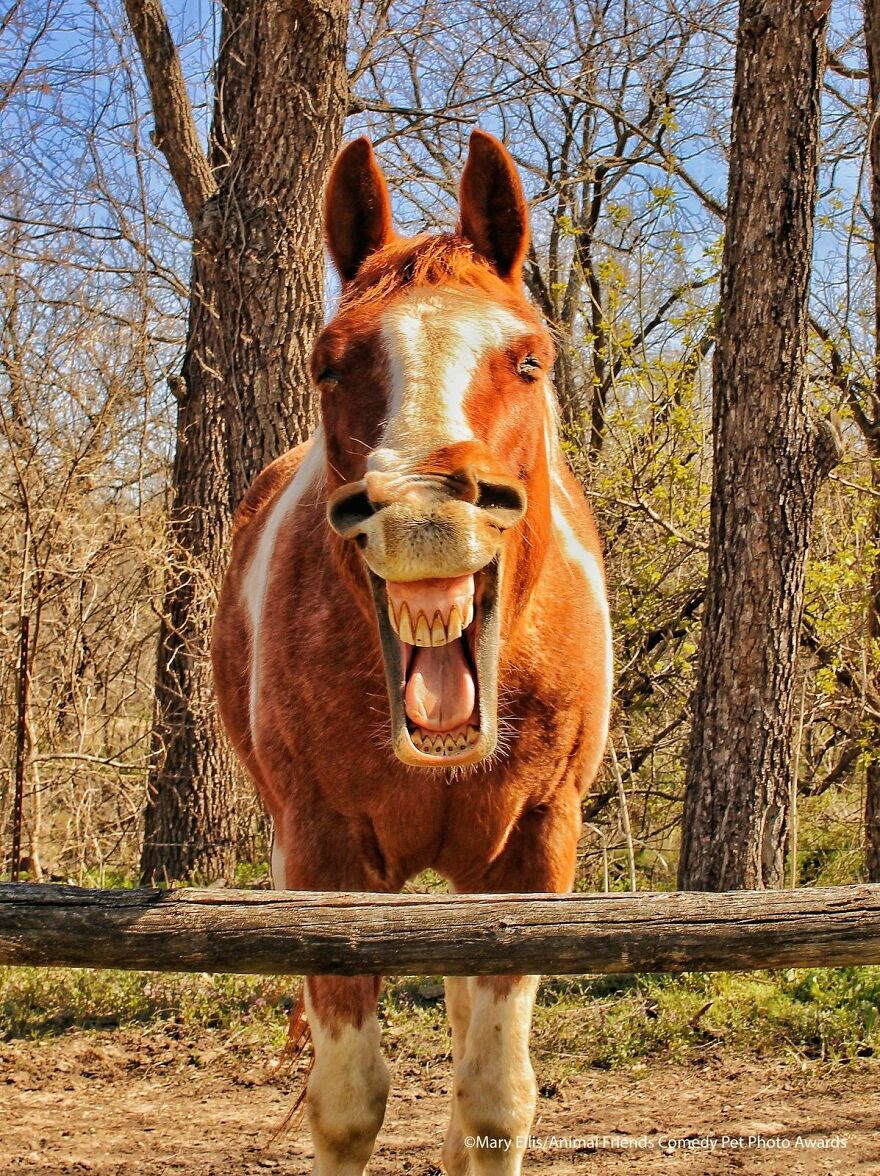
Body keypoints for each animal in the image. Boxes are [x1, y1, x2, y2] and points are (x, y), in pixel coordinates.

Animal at [211, 131, 611, 1176]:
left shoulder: (534, 854)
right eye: (328, 366)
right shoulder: (320, 858)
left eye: (529, 358)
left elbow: (497, 1101)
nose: (425, 510)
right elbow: (348, 1103)